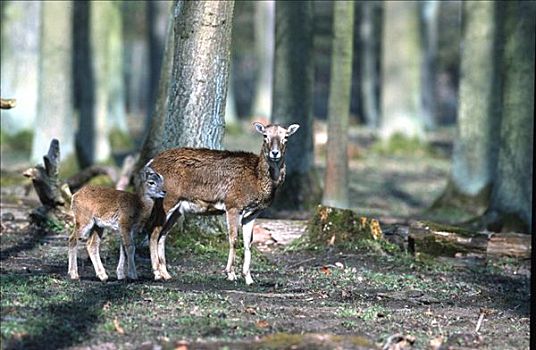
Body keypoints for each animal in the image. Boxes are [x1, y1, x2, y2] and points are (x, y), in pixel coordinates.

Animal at [149, 123, 300, 284]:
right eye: (265, 135)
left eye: (286, 137)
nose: (275, 153)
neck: (257, 181)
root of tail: (151, 164)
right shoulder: (233, 205)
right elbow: (233, 239)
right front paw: (231, 274)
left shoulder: (252, 213)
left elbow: (248, 243)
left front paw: (249, 278)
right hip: (167, 200)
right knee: (153, 232)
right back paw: (157, 273)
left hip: (177, 210)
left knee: (162, 234)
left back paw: (166, 274)